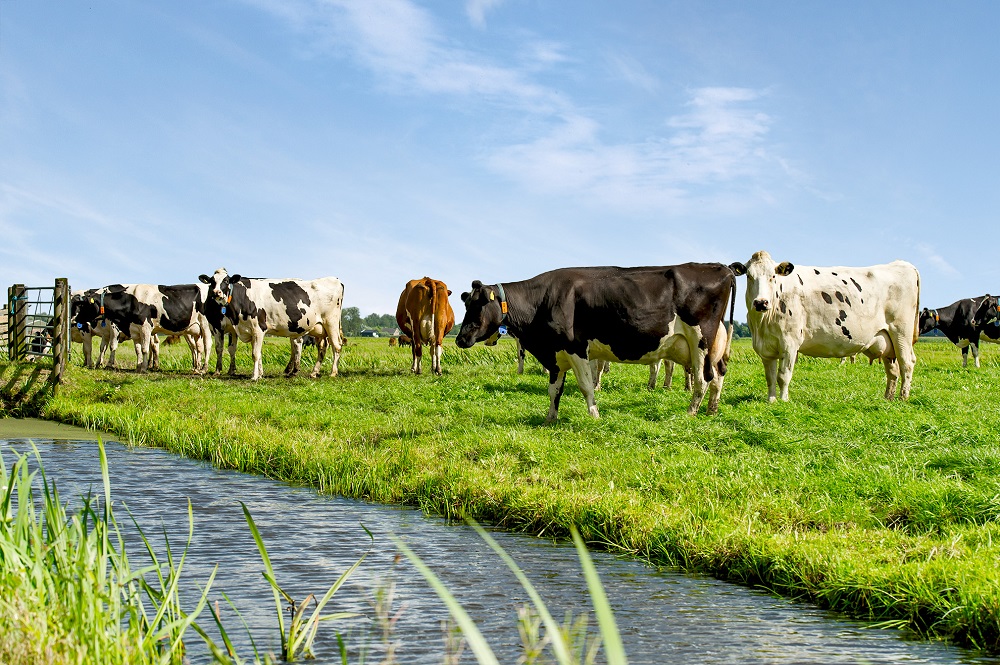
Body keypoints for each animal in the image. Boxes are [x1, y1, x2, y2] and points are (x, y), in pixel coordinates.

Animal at [71, 282, 213, 370]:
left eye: (83, 306)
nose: (74, 319)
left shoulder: (143, 327)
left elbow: (140, 348)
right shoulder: (134, 330)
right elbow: (137, 349)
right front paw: (139, 366)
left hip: (205, 325)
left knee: (207, 345)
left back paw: (204, 368)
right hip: (195, 330)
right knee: (198, 347)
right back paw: (196, 367)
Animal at [199, 264, 348, 378]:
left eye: (226, 281)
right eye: (212, 281)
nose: (216, 292)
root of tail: (335, 279)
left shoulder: (258, 328)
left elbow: (255, 354)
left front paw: (254, 376)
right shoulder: (248, 330)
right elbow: (257, 353)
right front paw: (260, 374)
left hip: (331, 323)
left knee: (337, 346)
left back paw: (333, 372)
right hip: (319, 328)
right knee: (322, 347)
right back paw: (314, 372)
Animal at [458, 264, 740, 420]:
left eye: (478, 305)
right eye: (466, 304)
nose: (460, 338)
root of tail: (721, 267)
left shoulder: (576, 348)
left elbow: (586, 387)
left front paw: (594, 415)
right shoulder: (556, 354)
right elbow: (554, 390)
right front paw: (550, 418)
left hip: (701, 341)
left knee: (703, 380)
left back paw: (690, 413)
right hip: (709, 348)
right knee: (717, 376)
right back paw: (711, 411)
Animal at [728, 250, 920, 400]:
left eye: (772, 276)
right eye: (749, 276)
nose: (761, 302)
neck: (763, 323)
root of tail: (902, 264)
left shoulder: (790, 344)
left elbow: (783, 376)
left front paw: (783, 401)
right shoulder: (766, 348)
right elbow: (770, 377)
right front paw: (772, 401)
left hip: (901, 333)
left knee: (907, 363)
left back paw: (903, 398)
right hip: (886, 340)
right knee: (893, 370)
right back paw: (888, 399)